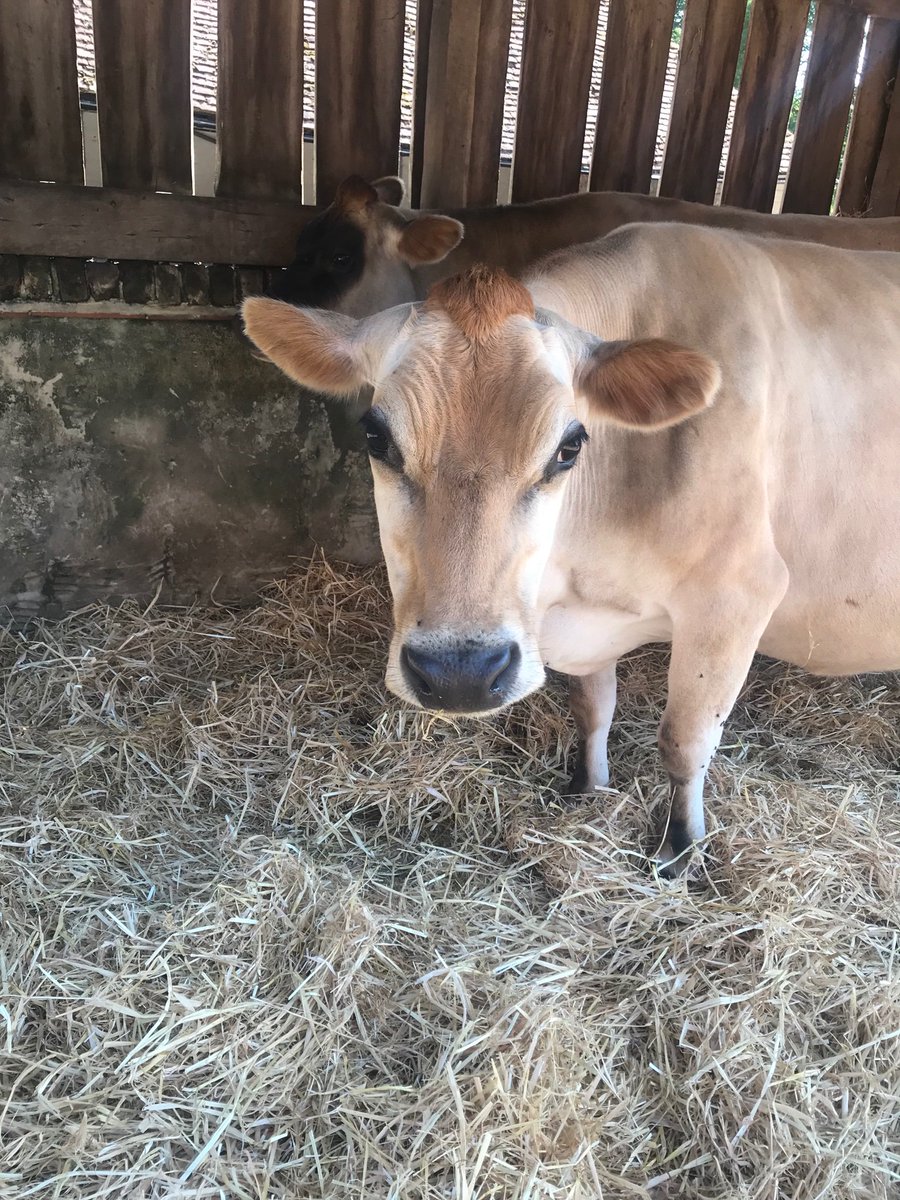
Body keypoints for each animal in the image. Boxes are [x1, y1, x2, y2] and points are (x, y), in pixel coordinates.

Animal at [241, 224, 900, 873]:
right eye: (376, 437)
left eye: (569, 446)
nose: (460, 673)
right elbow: (593, 708)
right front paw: (588, 787)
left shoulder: (736, 595)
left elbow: (685, 740)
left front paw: (681, 848)